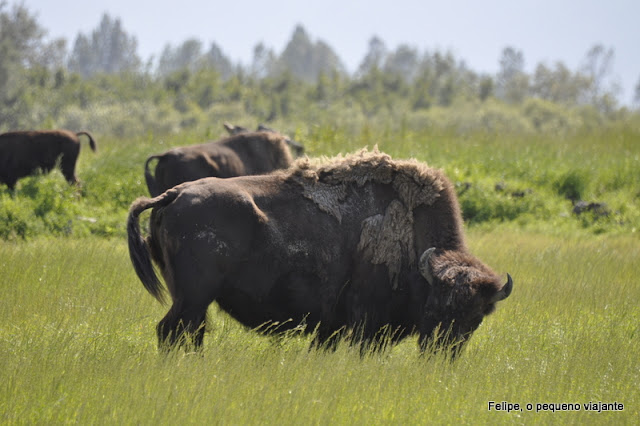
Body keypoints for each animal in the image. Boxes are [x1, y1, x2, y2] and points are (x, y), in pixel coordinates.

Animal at [127, 148, 512, 354]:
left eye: (475, 319)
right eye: (434, 309)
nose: (441, 355)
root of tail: (174, 194)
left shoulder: (332, 324)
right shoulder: (366, 321)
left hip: (194, 300)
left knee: (189, 333)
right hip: (193, 296)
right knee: (172, 331)